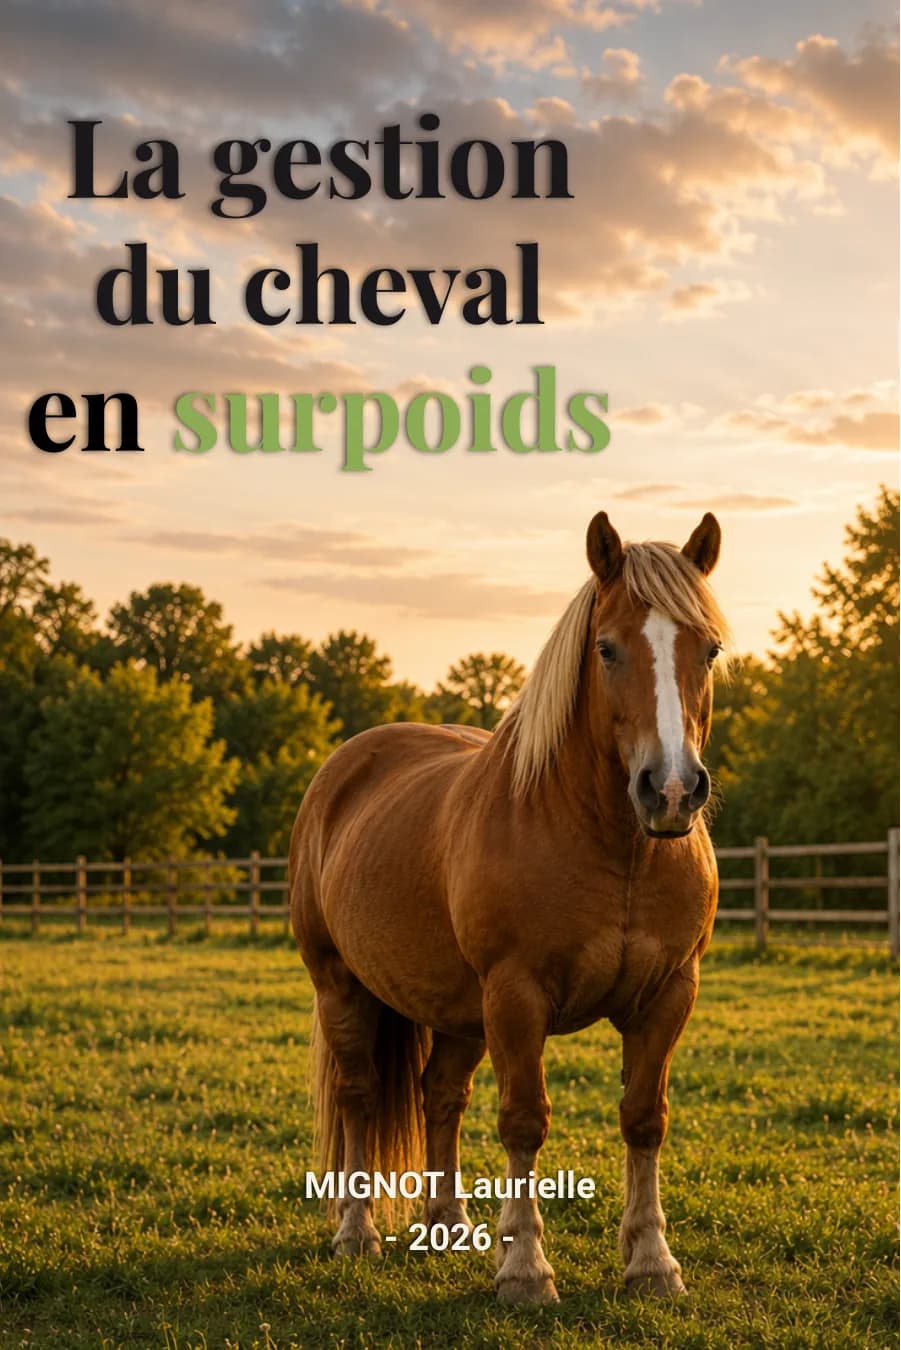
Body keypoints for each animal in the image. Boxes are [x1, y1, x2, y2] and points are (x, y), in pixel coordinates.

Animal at [289, 509, 728, 1305]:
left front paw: (652, 1262)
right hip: (342, 986)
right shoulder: (517, 996)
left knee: (440, 1095)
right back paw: (355, 1232)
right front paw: (525, 1269)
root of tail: (346, 767)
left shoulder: (667, 995)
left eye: (707, 649)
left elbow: (643, 1120)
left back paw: (449, 1225)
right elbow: (524, 1122)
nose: (672, 790)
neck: (613, 845)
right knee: (358, 1095)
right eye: (607, 648)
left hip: (459, 1009)